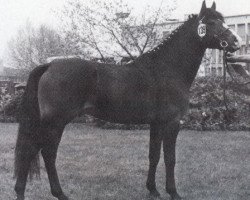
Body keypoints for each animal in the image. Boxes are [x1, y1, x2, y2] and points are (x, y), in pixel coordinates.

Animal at [13, 1, 240, 200]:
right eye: (211, 22)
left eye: (222, 20)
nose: (236, 42)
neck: (167, 70)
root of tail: (50, 66)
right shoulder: (172, 123)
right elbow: (170, 159)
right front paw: (174, 193)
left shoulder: (156, 124)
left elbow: (154, 156)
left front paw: (153, 190)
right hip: (55, 122)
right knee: (44, 153)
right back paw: (58, 194)